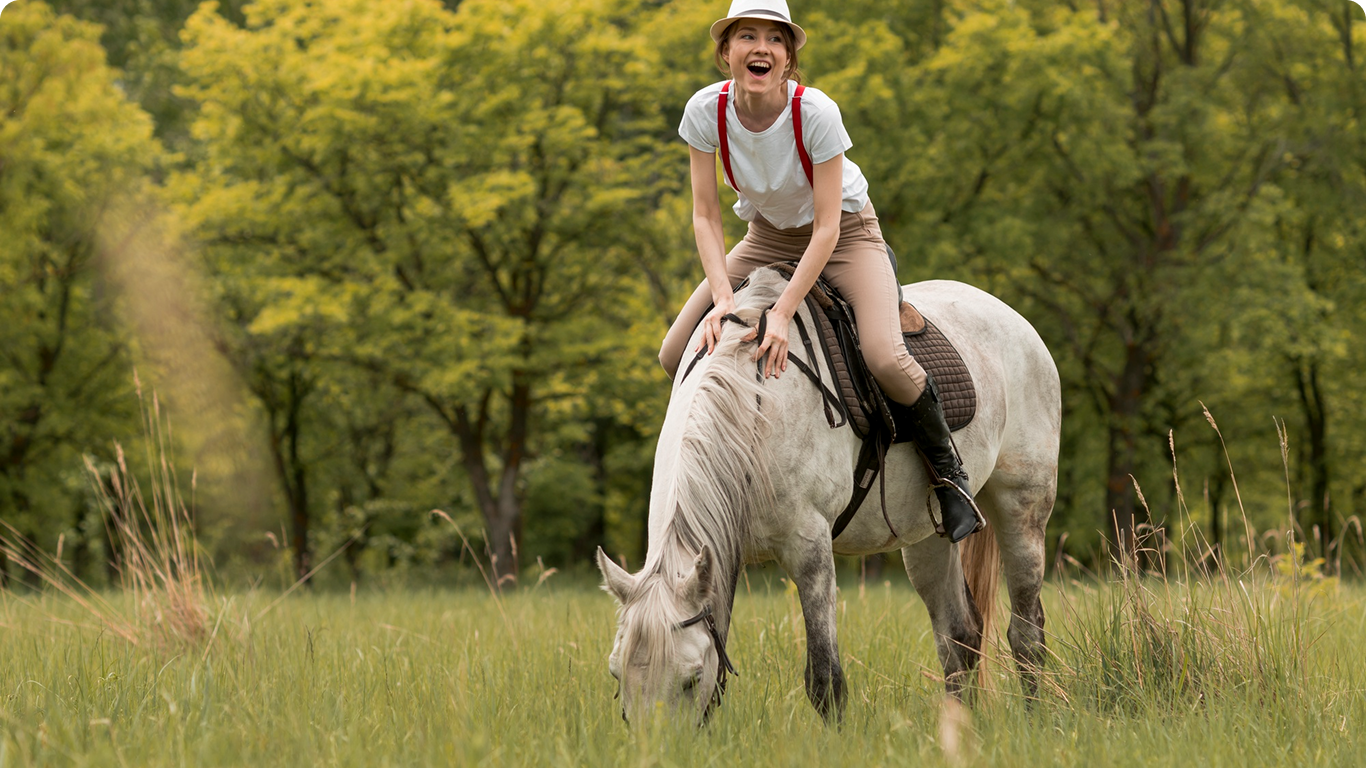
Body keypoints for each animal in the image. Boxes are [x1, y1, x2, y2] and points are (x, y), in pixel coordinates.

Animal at [596, 266, 1060, 725]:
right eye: (616, 674)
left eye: (691, 678)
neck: (754, 406)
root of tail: (1012, 318)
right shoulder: (723, 555)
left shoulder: (809, 549)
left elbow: (825, 680)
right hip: (927, 537)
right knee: (958, 636)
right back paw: (959, 729)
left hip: (1022, 507)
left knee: (1026, 632)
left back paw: (1034, 721)